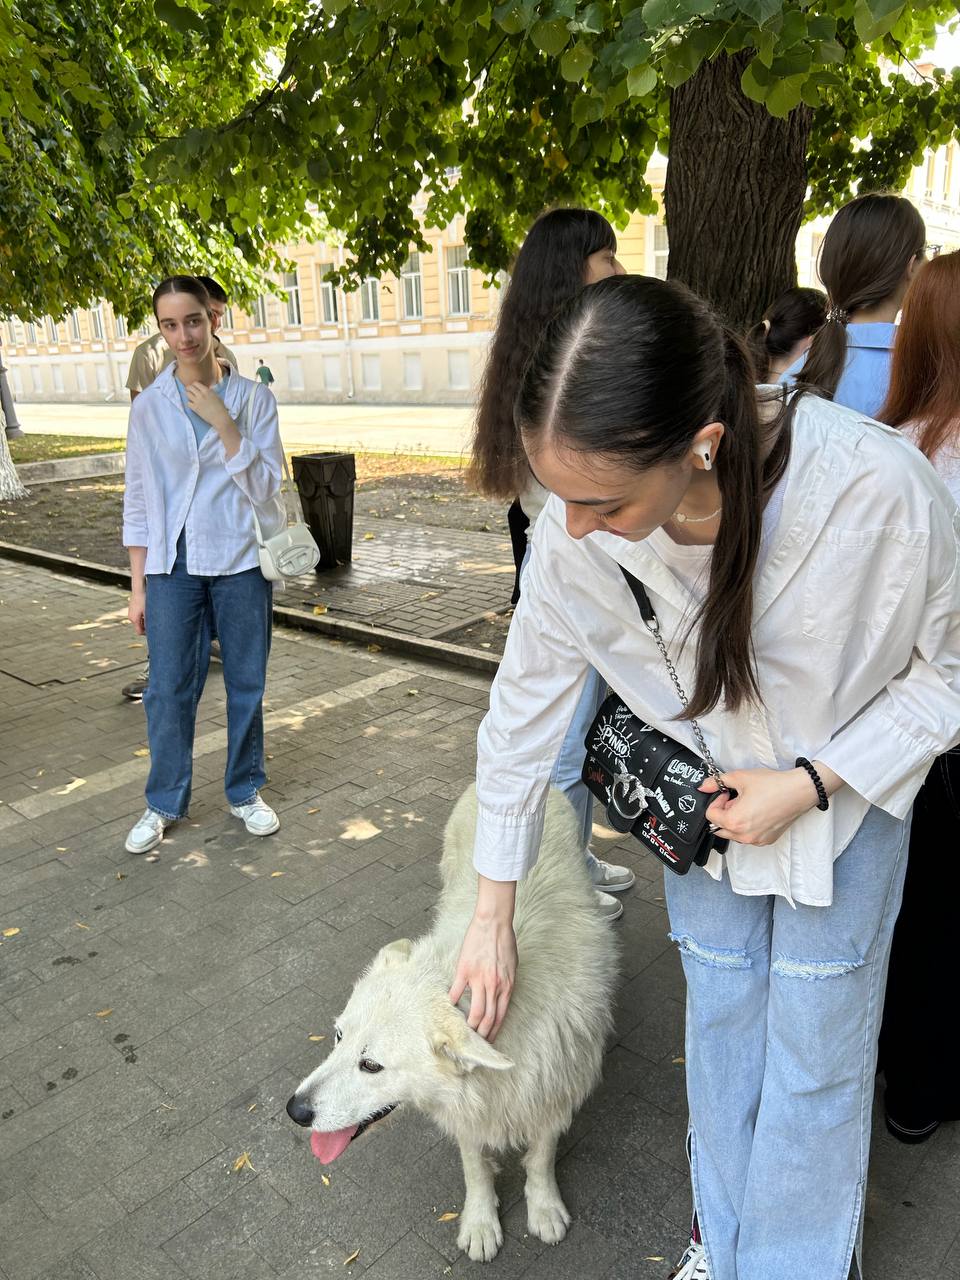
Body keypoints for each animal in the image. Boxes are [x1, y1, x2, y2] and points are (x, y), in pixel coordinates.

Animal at [285, 783, 619, 1264]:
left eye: (371, 1066)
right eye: (338, 1037)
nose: (294, 1112)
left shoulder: (551, 1094)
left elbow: (539, 1159)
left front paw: (544, 1208)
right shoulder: (467, 1111)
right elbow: (475, 1166)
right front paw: (480, 1223)